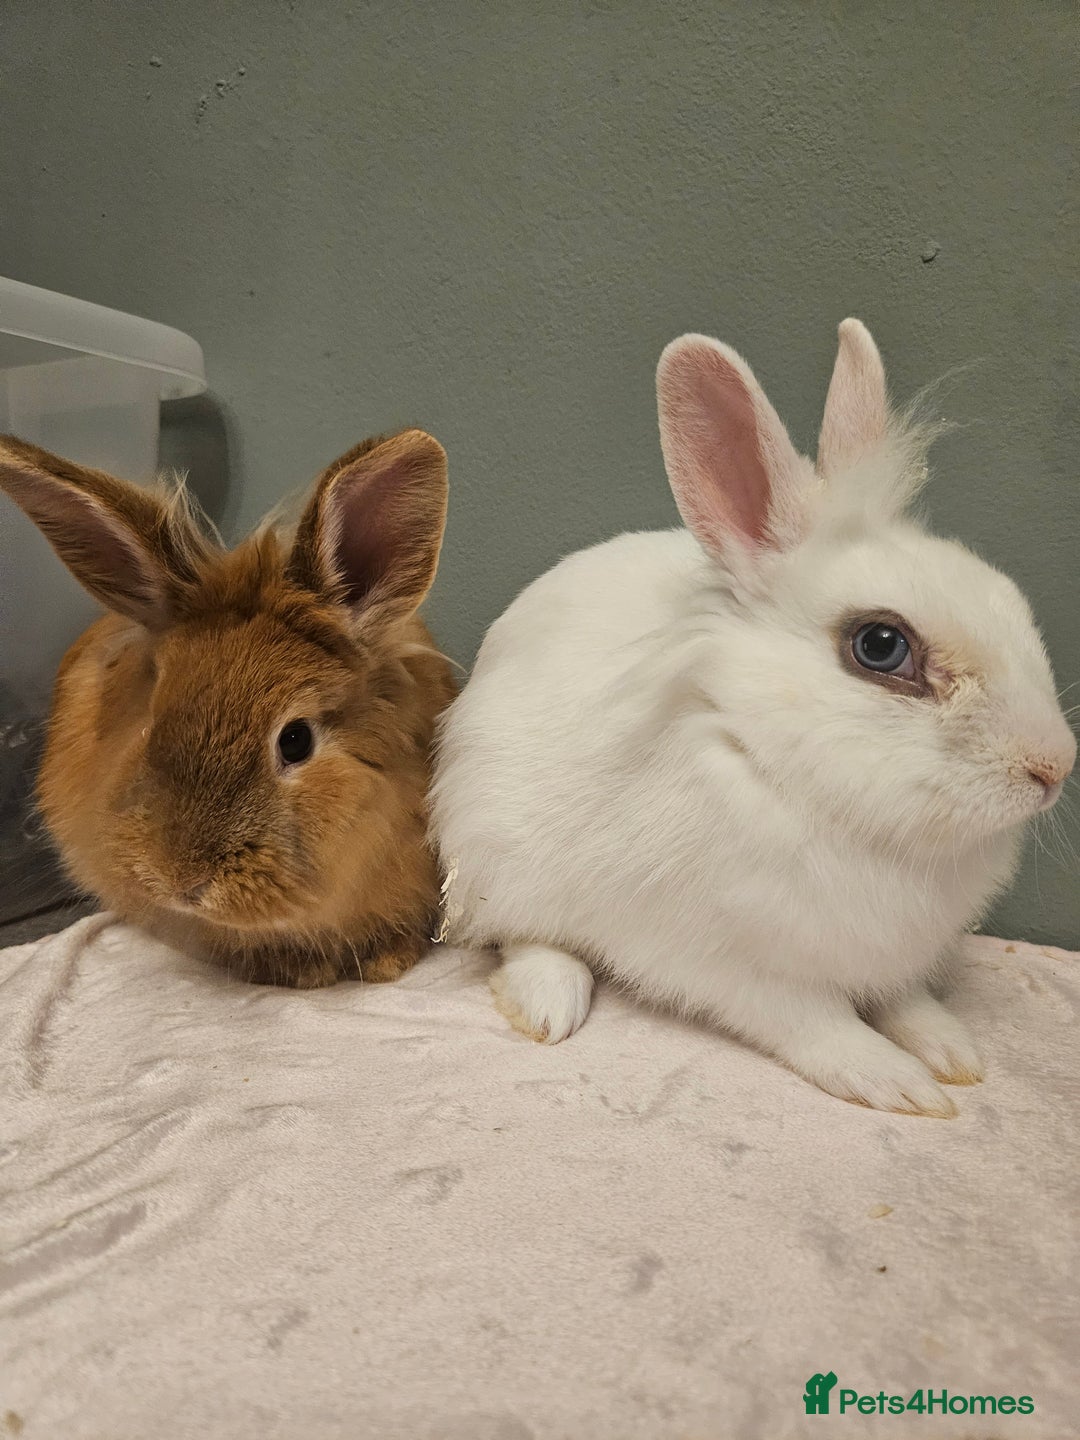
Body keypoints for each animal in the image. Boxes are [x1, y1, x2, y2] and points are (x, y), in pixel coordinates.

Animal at [431, 319, 1075, 1116]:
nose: (1053, 765)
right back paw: (550, 1002)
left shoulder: (891, 959)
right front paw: (895, 1081)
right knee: (523, 934)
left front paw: (952, 1050)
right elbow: (818, 1024)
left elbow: (905, 1002)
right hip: (496, 854)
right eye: (881, 646)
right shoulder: (731, 965)